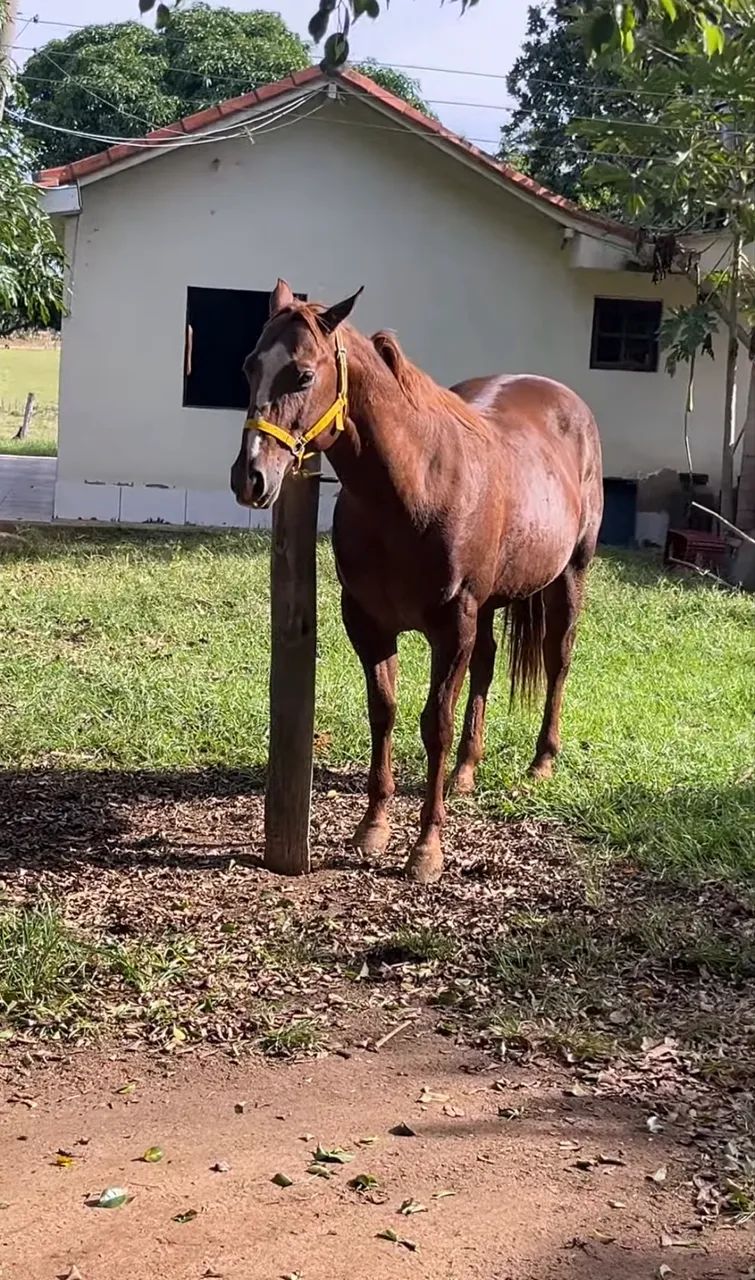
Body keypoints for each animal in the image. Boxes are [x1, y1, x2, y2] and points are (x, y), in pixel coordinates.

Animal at [231, 280, 603, 885]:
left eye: (304, 375)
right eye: (249, 367)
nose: (251, 478)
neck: (412, 491)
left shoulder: (451, 627)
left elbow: (435, 725)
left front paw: (427, 847)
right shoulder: (368, 623)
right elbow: (383, 712)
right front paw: (373, 828)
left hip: (569, 576)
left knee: (557, 659)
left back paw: (542, 761)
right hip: (490, 605)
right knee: (487, 665)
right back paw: (466, 772)